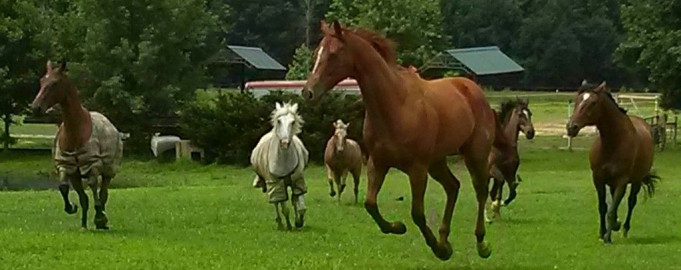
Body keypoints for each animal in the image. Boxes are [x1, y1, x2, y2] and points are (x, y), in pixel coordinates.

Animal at [30, 61, 123, 230]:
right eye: (41, 81)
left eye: (54, 83)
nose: (36, 107)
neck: (76, 130)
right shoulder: (67, 166)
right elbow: (65, 188)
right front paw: (72, 209)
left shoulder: (92, 164)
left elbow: (94, 187)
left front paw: (99, 217)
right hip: (78, 174)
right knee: (86, 197)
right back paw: (86, 223)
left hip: (108, 170)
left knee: (103, 193)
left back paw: (102, 220)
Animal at [251, 101, 310, 230]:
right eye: (279, 121)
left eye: (293, 122)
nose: (284, 143)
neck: (284, 160)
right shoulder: (277, 184)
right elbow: (284, 207)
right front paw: (288, 225)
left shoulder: (297, 180)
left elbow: (301, 206)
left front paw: (298, 222)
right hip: (272, 185)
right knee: (276, 203)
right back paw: (280, 223)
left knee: (292, 200)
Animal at [300, 20, 508, 260]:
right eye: (317, 52)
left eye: (333, 54)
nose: (308, 92)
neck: (395, 105)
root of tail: (474, 90)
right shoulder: (378, 163)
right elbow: (370, 204)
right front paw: (399, 227)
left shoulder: (417, 169)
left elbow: (417, 213)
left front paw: (436, 248)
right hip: (436, 162)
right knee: (453, 187)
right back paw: (445, 240)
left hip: (475, 155)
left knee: (480, 190)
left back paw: (481, 244)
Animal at [564, 81, 660, 244]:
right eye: (577, 101)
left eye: (593, 103)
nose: (571, 127)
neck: (613, 143)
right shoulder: (598, 179)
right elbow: (603, 207)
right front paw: (602, 233)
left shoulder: (622, 181)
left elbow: (612, 208)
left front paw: (608, 237)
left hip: (636, 181)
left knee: (631, 202)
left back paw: (624, 229)